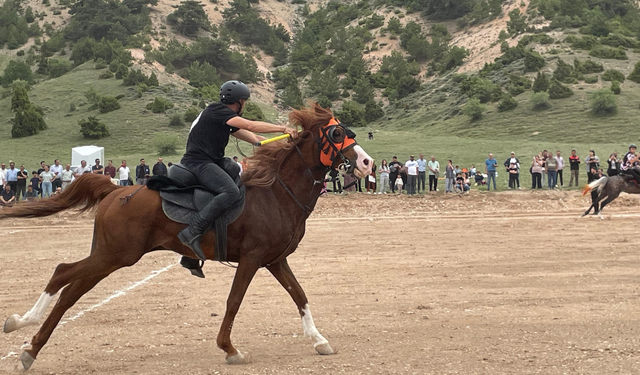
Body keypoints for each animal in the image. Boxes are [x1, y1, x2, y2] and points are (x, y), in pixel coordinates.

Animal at [0, 102, 372, 370]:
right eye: (336, 132)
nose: (367, 162)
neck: (277, 192)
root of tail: (115, 190)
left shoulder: (275, 260)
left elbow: (300, 296)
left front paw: (319, 340)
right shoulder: (251, 259)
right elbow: (234, 301)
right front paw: (229, 348)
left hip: (108, 256)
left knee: (70, 290)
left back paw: (30, 345)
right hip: (115, 255)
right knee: (63, 273)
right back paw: (24, 327)